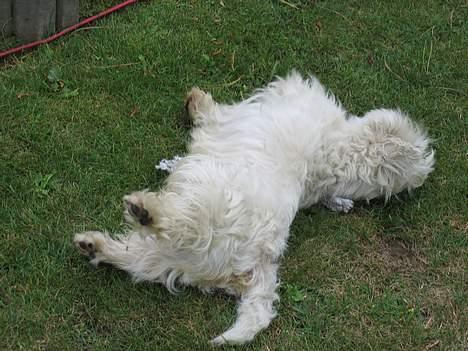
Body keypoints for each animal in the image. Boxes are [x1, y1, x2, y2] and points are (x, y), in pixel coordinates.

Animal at [74, 73, 436, 346]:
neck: (330, 159)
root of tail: (257, 263)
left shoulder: (233, 119)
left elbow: (210, 113)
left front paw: (196, 100)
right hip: (164, 256)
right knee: (133, 257)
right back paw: (94, 244)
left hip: (204, 213)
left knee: (173, 224)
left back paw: (144, 210)